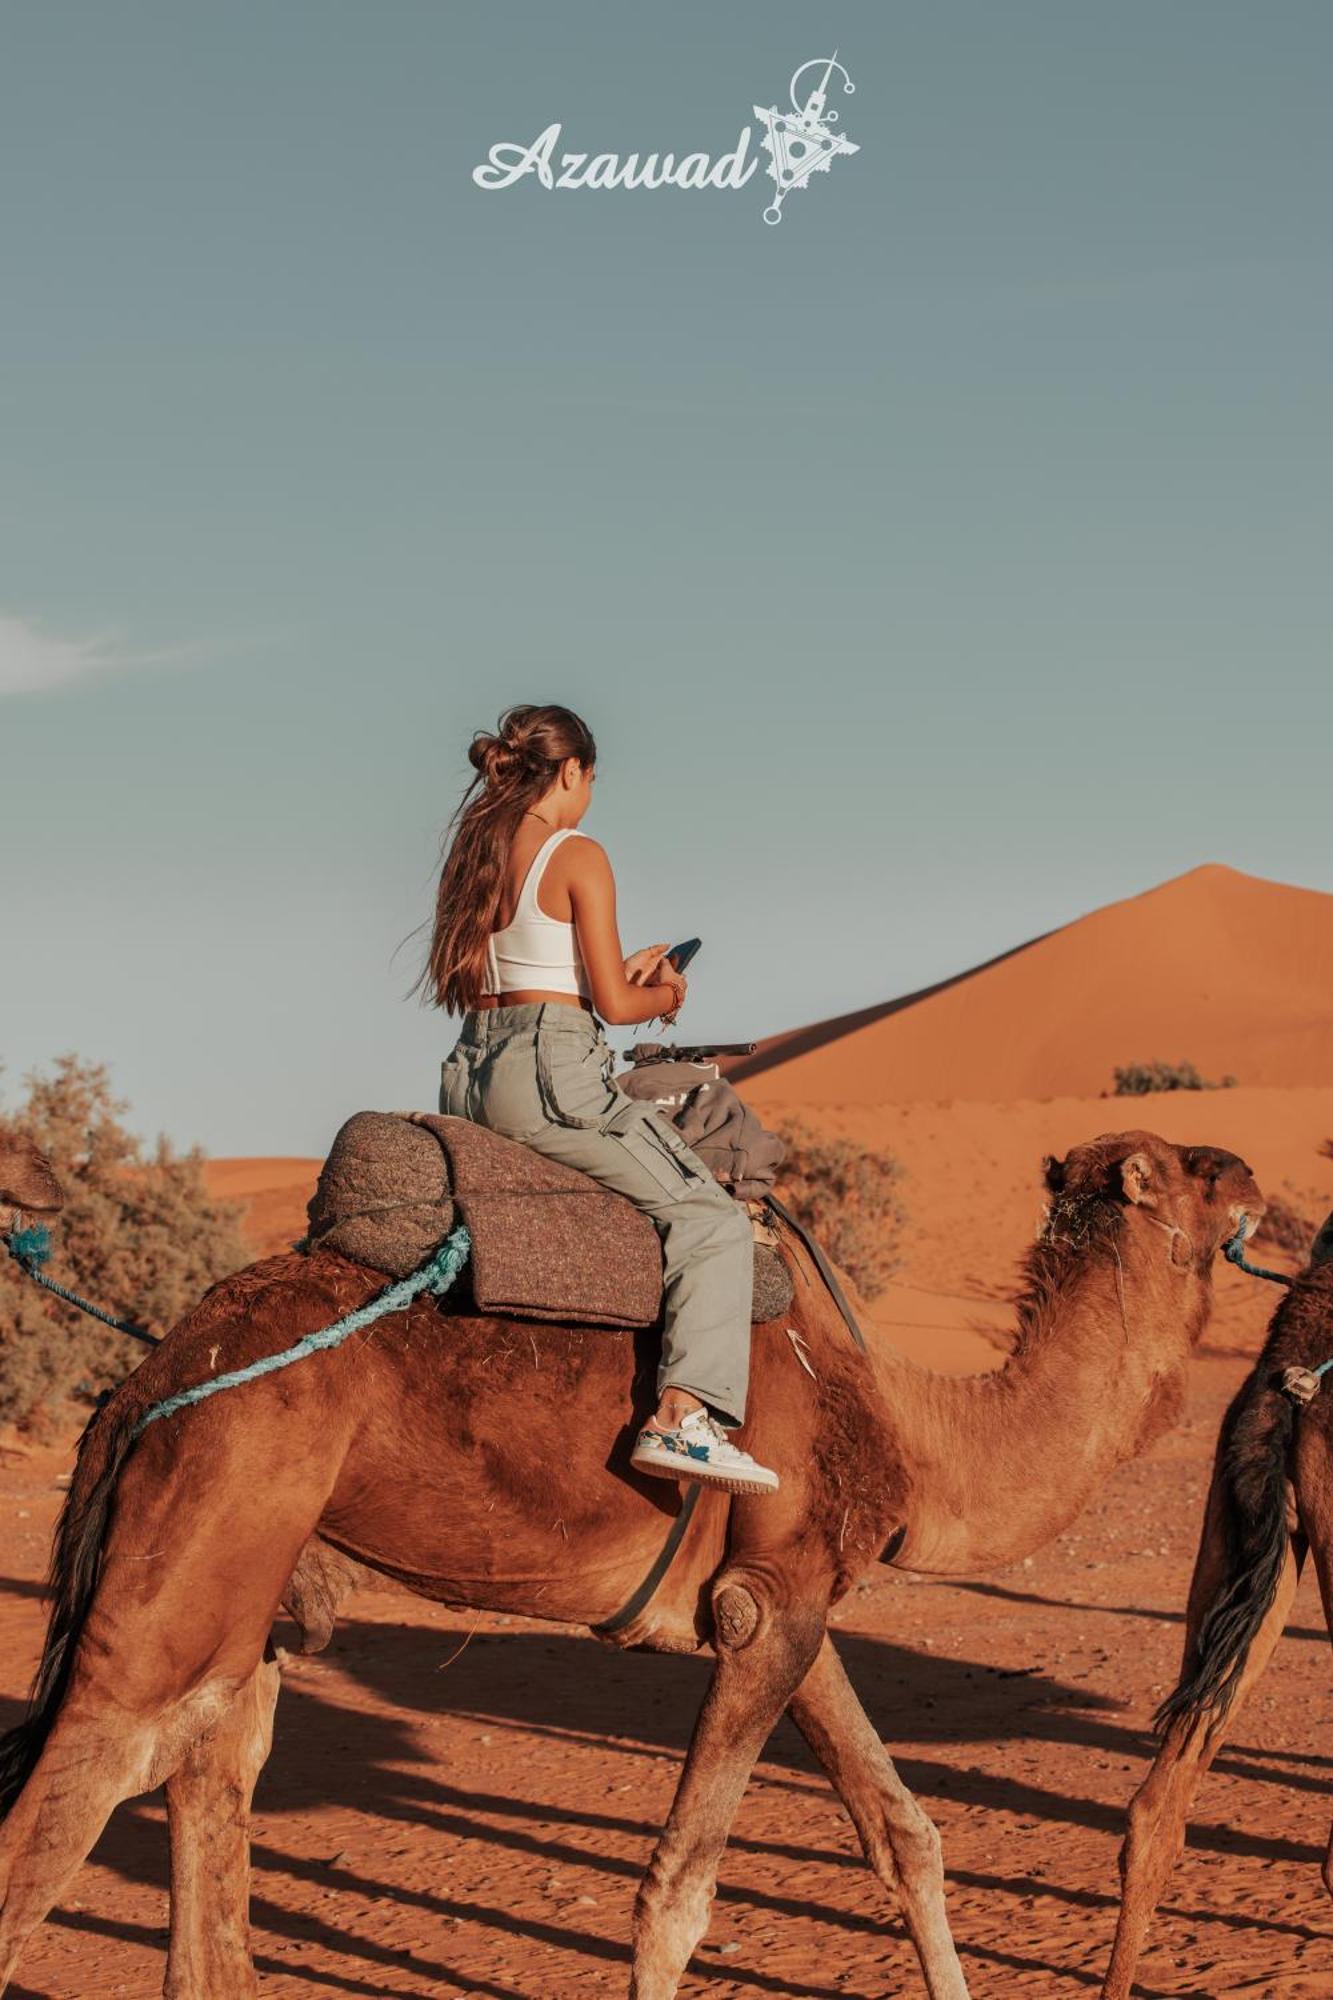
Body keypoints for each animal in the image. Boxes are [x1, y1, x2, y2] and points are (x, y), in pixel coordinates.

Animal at [0, 1136, 1264, 1992]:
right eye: (1200, 1171)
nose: (1265, 1184)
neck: (910, 1422)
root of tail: (147, 1381)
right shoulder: (767, 1608)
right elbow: (677, 1894)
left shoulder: (786, 1601)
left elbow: (906, 1833)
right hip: (201, 1526)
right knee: (71, 1806)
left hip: (250, 1590)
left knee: (211, 1769)